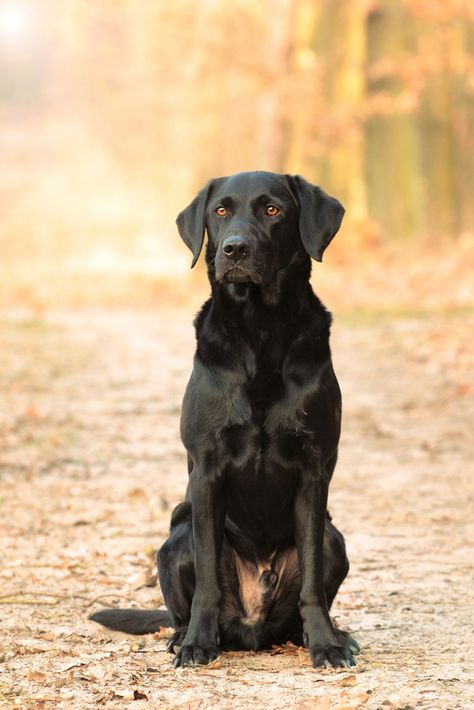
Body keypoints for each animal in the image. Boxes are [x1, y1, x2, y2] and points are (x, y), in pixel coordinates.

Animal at [90, 170, 360, 672]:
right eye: (220, 210)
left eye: (272, 209)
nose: (234, 249)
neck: (261, 329)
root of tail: (253, 625)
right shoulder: (207, 468)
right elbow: (208, 585)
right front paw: (198, 643)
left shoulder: (315, 469)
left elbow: (313, 584)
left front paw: (326, 644)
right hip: (176, 538)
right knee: (184, 598)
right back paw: (183, 636)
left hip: (336, 538)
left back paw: (335, 634)